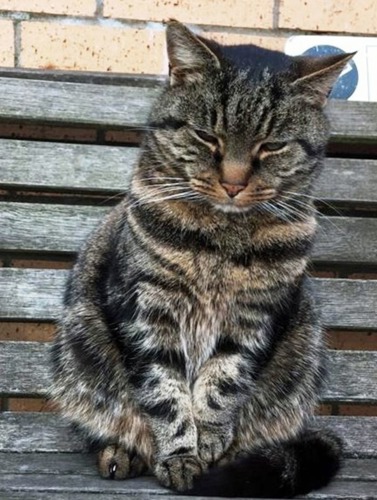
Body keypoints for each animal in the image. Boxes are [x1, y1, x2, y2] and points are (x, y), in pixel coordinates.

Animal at [50, 19, 352, 496]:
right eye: (207, 136)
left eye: (272, 146)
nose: (233, 183)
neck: (220, 243)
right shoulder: (147, 312)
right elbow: (165, 393)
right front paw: (179, 454)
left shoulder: (253, 318)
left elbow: (221, 383)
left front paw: (208, 442)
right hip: (78, 353)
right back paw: (123, 453)